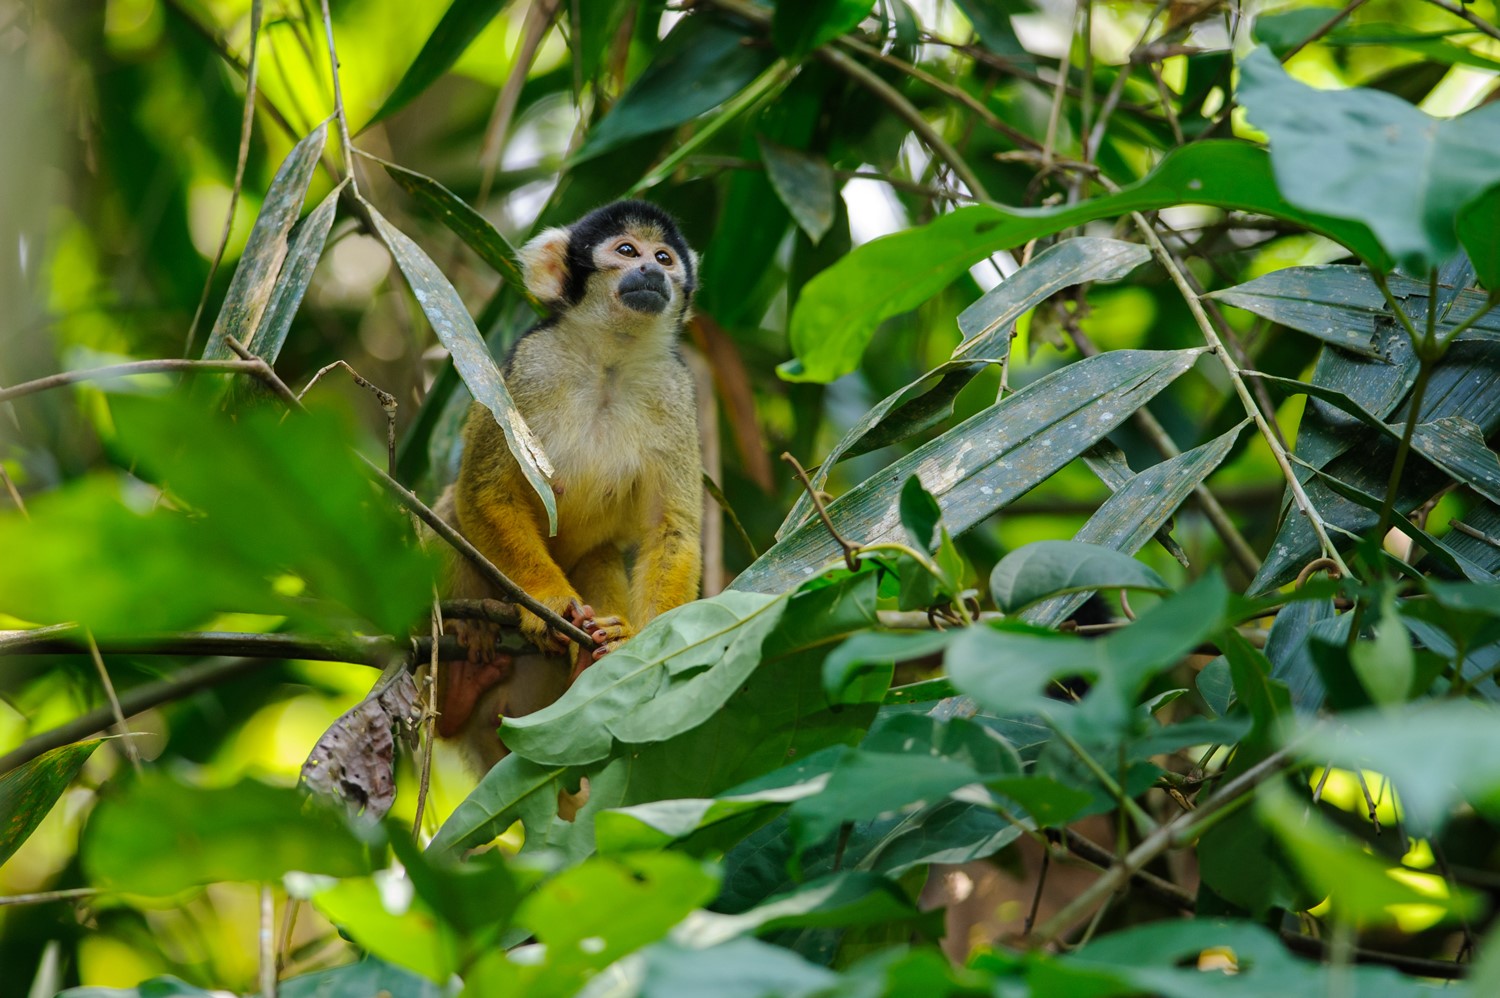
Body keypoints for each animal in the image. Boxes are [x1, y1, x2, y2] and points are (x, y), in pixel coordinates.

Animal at [431, 200, 704, 772]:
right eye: (627, 250)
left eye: (664, 258)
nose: (651, 272)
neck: (609, 358)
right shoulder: (530, 365)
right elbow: (484, 492)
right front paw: (551, 604)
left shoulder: (676, 389)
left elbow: (671, 529)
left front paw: (645, 651)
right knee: (449, 513)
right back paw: (458, 685)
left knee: (600, 554)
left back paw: (590, 660)